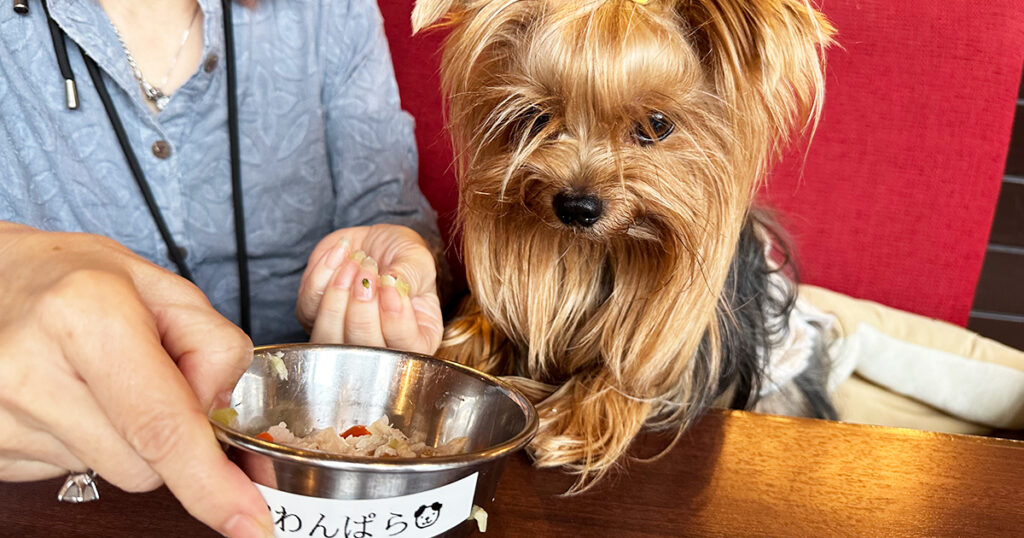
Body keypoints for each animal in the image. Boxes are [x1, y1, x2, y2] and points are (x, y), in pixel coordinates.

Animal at [411, 0, 835, 485]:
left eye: (656, 125)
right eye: (536, 118)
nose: (576, 206)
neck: (603, 250)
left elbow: (633, 368)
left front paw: (569, 422)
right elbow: (485, 317)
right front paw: (452, 352)